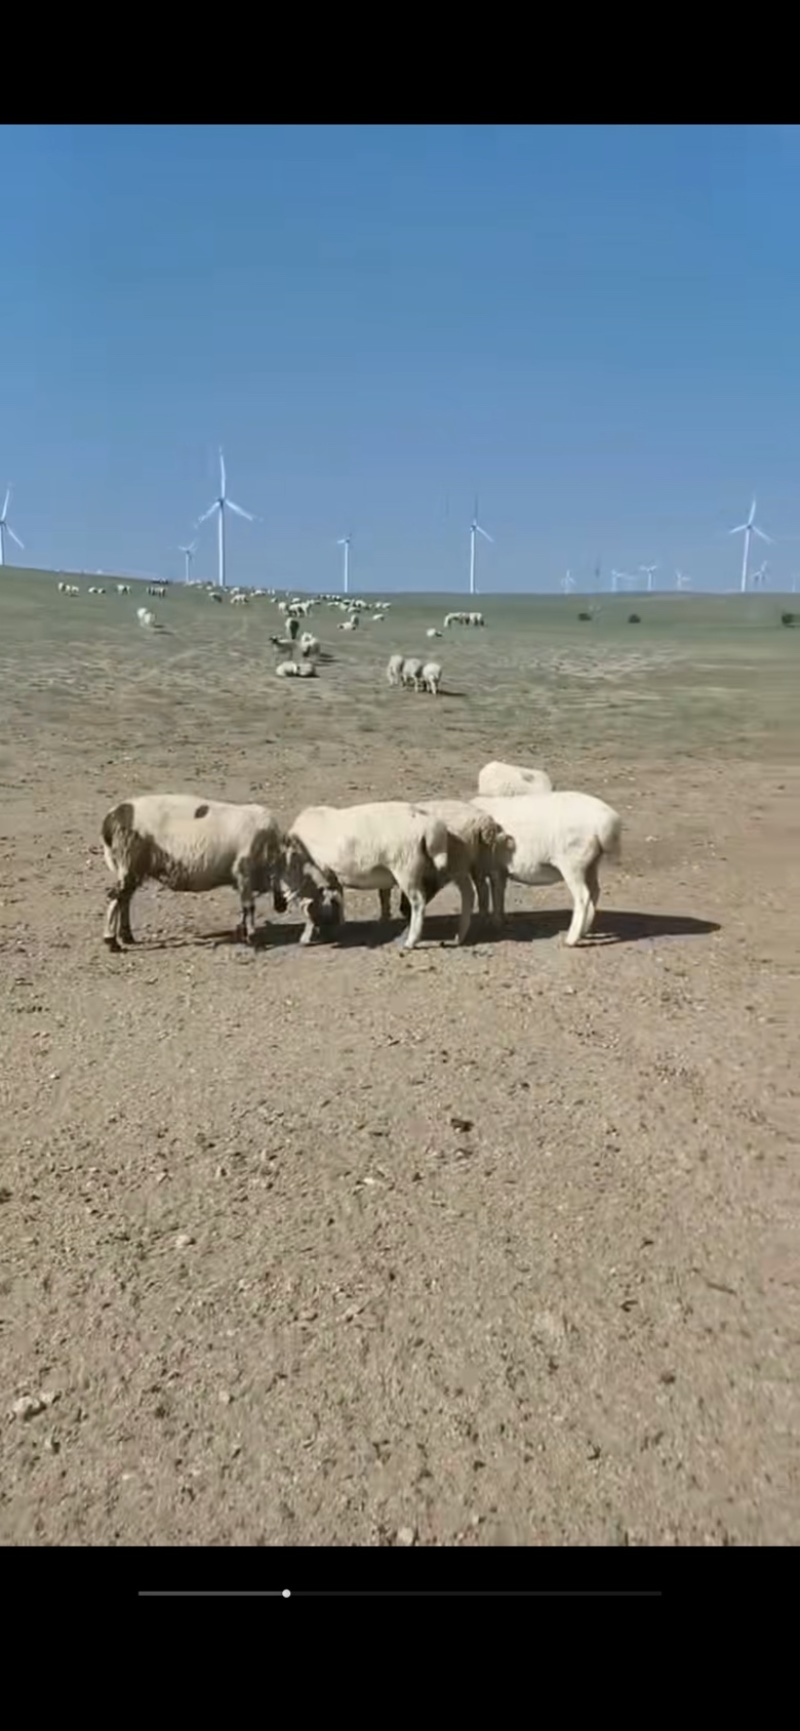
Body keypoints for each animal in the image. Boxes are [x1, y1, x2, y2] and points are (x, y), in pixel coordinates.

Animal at [99, 792, 309, 955]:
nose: (282, 905)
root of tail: (113, 817)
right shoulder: (244, 871)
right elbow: (249, 906)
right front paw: (253, 939)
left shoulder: (242, 879)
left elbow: (243, 907)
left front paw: (243, 931)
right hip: (129, 861)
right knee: (115, 897)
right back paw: (112, 942)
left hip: (132, 867)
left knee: (124, 899)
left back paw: (127, 936)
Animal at [282, 803, 474, 955]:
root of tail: (430, 826)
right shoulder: (331, 877)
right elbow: (339, 899)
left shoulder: (321, 874)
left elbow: (317, 903)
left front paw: (310, 935)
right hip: (448, 863)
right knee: (466, 889)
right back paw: (460, 935)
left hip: (405, 868)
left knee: (419, 902)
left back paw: (411, 941)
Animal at [470, 792, 623, 948]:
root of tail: (607, 820)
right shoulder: (499, 869)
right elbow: (498, 893)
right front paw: (499, 921)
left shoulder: (490, 867)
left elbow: (489, 893)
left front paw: (492, 922)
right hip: (591, 863)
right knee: (594, 890)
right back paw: (584, 931)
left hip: (572, 863)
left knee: (582, 896)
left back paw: (571, 939)